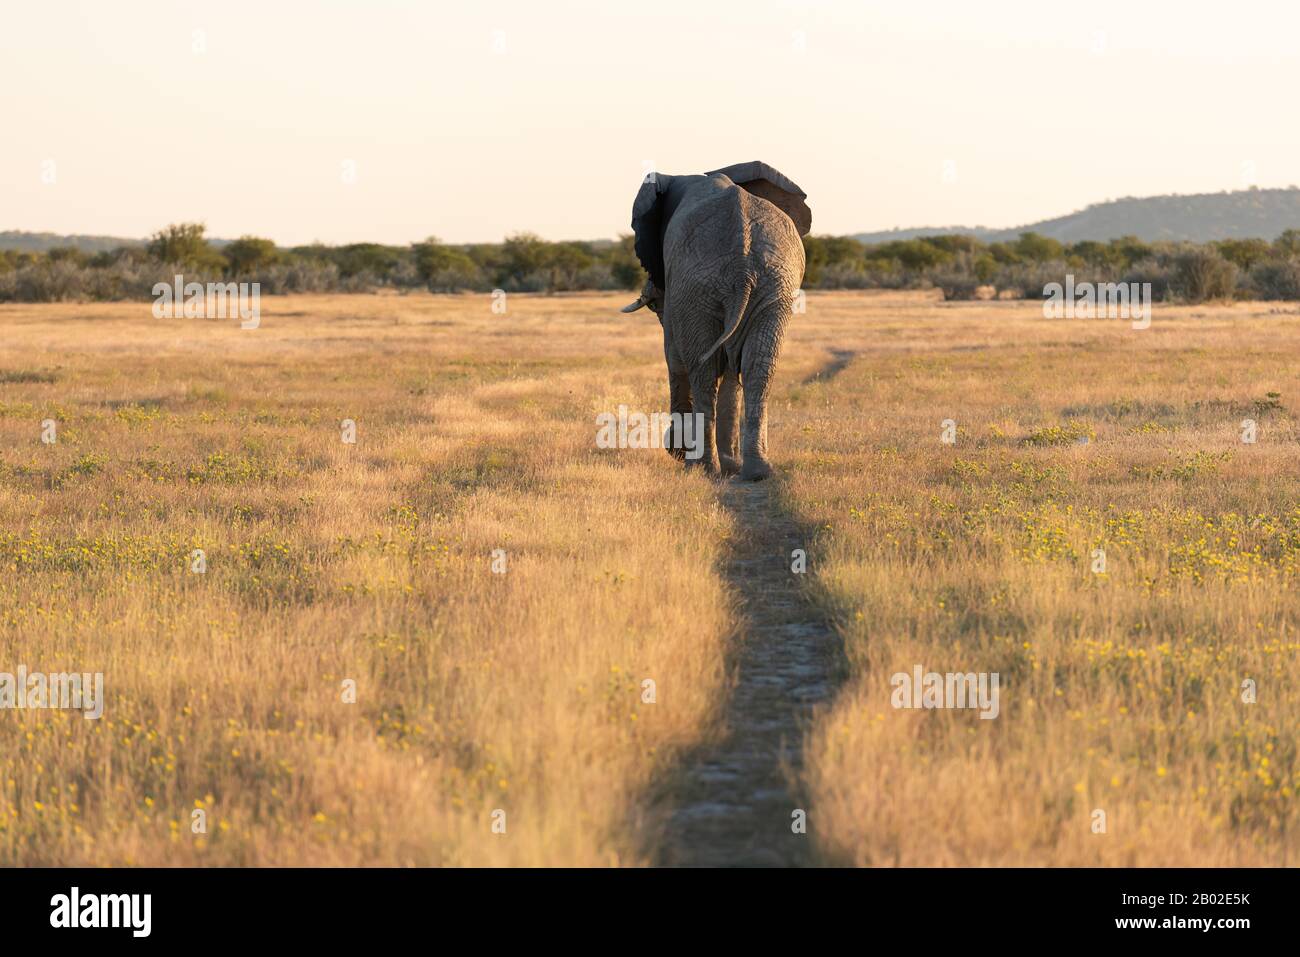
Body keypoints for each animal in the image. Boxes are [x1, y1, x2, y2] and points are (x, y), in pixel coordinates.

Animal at [618, 160, 811, 481]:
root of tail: (742, 267)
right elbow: (732, 369)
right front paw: (730, 466)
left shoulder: (676, 292)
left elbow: (675, 356)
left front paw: (679, 453)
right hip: (773, 287)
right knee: (757, 367)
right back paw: (755, 472)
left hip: (700, 288)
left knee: (703, 370)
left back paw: (702, 467)